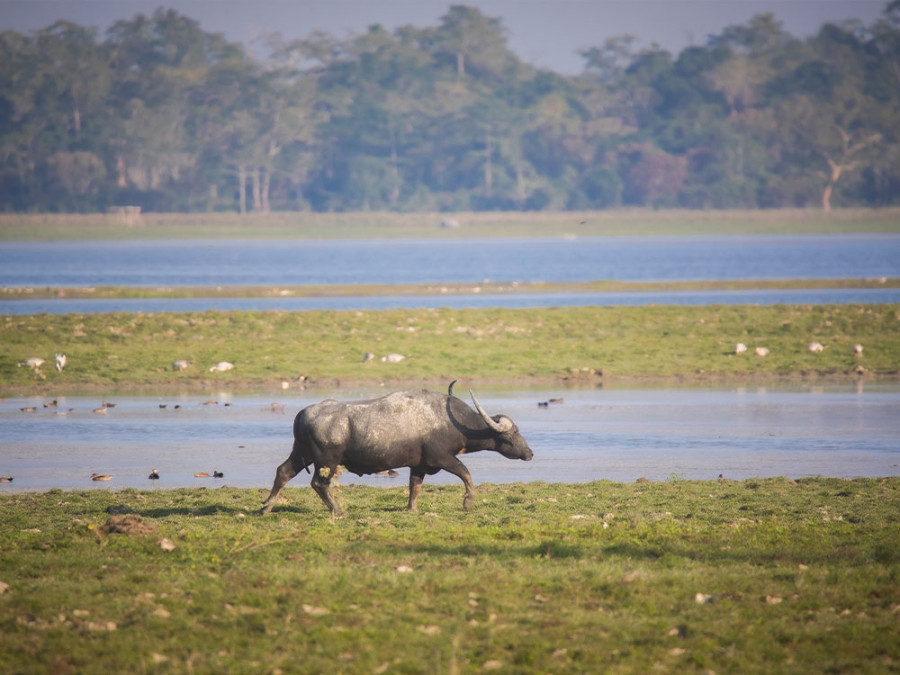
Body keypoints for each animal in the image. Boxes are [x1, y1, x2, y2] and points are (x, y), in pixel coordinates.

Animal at [260, 380, 532, 512]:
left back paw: (266, 507)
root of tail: (303, 413)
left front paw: (411, 509)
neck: (451, 420)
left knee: (283, 472)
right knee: (319, 483)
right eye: (514, 433)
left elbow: (415, 486)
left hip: (302, 454)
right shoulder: (442, 458)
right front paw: (468, 503)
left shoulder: (419, 465)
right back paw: (338, 510)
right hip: (327, 462)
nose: (529, 453)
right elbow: (466, 473)